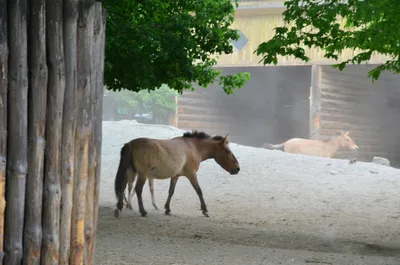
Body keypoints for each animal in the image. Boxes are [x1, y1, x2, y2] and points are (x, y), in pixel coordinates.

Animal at [113, 129, 241, 217]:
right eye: (227, 151)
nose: (237, 168)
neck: (194, 147)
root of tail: (131, 143)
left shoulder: (175, 176)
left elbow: (171, 191)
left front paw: (167, 209)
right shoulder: (191, 174)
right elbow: (199, 191)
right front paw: (205, 210)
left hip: (129, 172)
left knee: (123, 186)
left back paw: (119, 207)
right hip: (142, 174)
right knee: (138, 189)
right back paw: (143, 211)